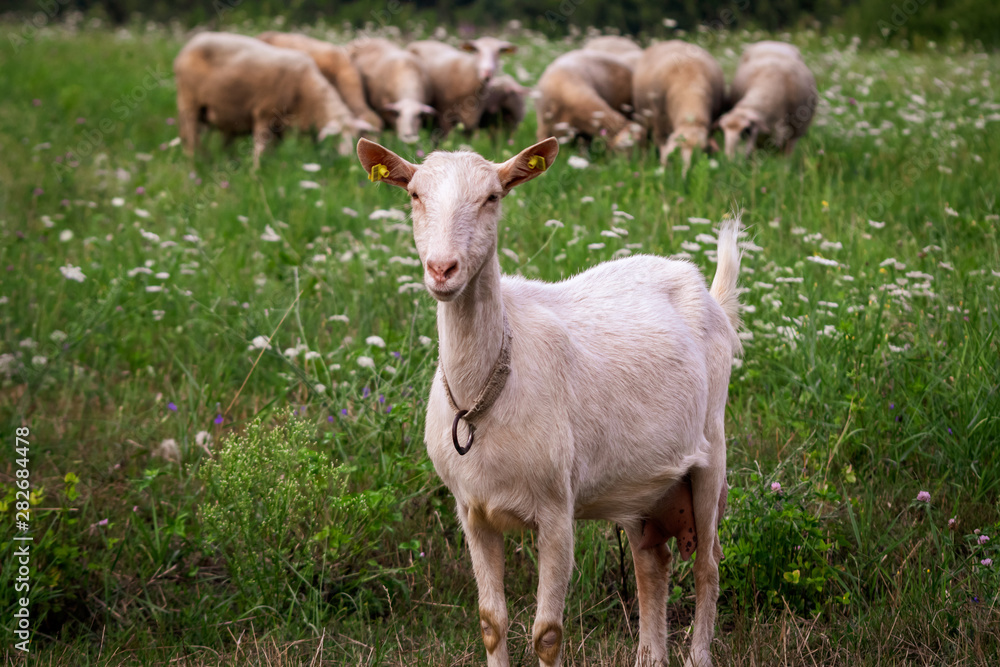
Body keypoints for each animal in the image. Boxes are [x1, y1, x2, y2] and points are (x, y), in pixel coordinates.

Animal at [357, 136, 741, 667]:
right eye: (414, 194)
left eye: (492, 197)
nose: (442, 269)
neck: (486, 392)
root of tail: (709, 295)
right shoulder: (471, 511)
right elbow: (491, 622)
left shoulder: (557, 508)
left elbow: (548, 632)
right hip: (644, 483)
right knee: (653, 561)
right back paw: (650, 654)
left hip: (712, 451)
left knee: (708, 565)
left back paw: (698, 654)